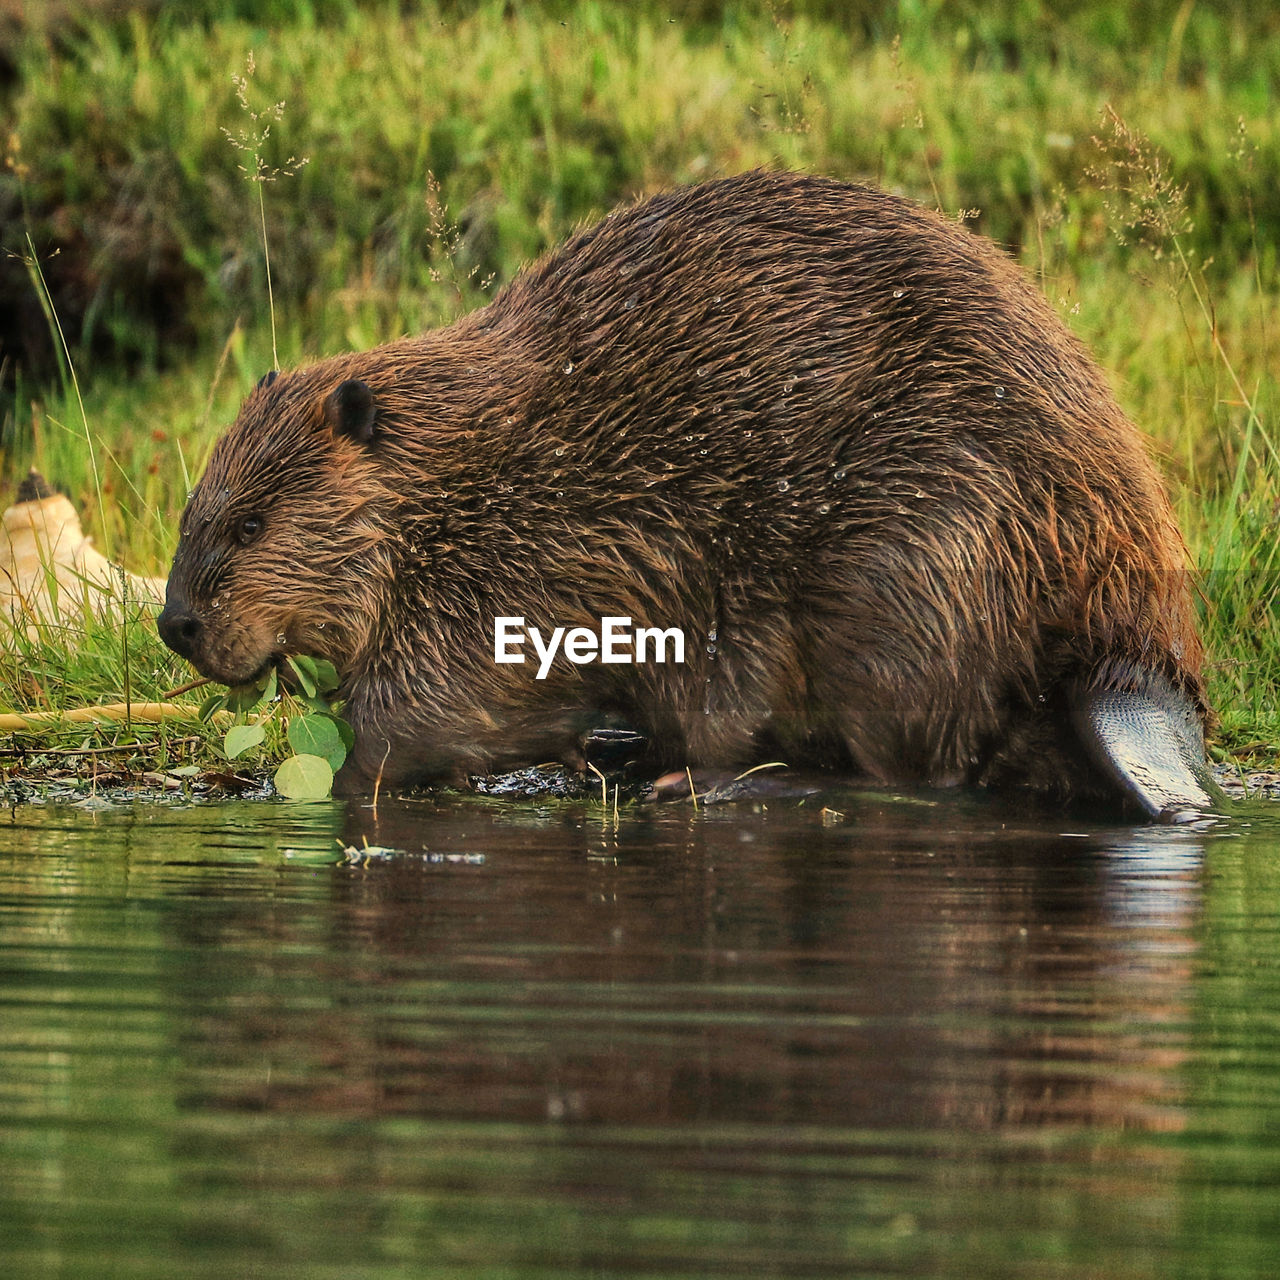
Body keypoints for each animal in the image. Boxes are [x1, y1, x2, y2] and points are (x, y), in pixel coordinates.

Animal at [157, 170, 1218, 814]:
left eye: (250, 523)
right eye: (192, 512)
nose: (176, 624)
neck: (452, 470)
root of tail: (1134, 672)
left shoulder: (498, 578)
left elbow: (434, 716)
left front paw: (319, 777)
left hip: (909, 558)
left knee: (919, 768)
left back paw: (699, 783)